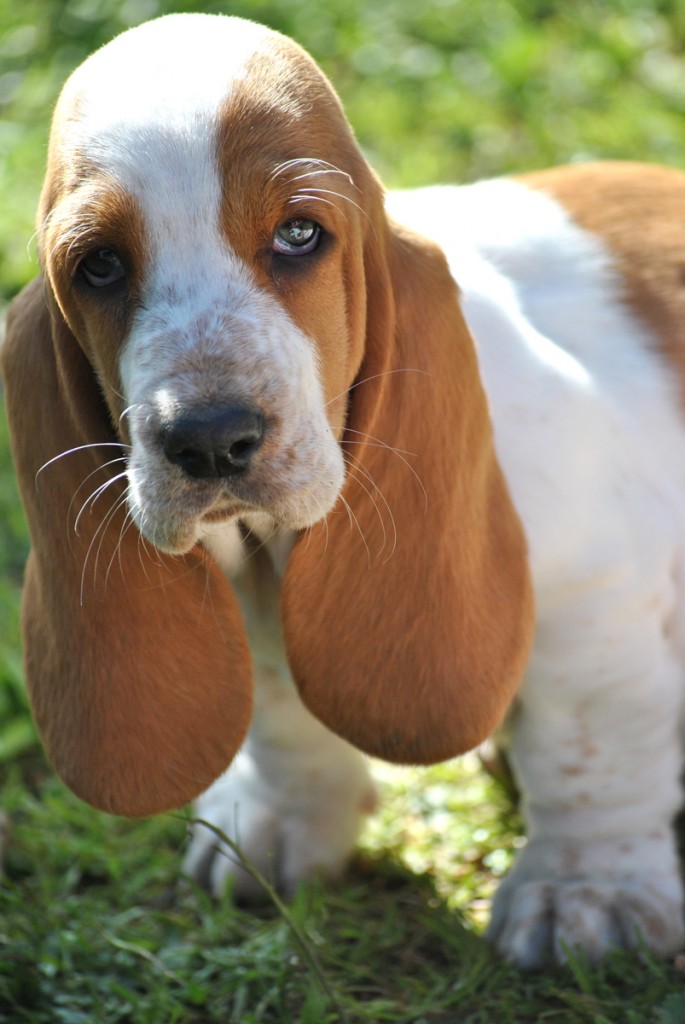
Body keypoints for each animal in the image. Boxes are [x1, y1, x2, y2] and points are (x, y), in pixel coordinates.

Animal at [3, 12, 683, 966]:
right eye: (99, 266)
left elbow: (588, 742)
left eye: (298, 235)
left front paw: (588, 893)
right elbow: (281, 702)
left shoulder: (599, 588)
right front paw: (289, 819)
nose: (209, 439)